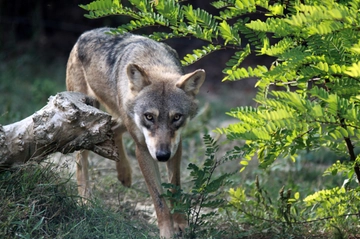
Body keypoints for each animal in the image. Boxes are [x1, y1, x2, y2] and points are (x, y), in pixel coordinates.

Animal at [65, 27, 205, 237]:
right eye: (149, 117)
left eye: (176, 117)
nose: (162, 156)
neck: (153, 61)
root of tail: (86, 33)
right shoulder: (143, 149)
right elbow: (159, 199)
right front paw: (167, 232)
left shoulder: (175, 146)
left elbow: (175, 188)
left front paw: (181, 224)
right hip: (89, 116)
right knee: (81, 160)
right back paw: (85, 200)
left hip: (122, 117)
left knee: (114, 131)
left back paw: (124, 175)